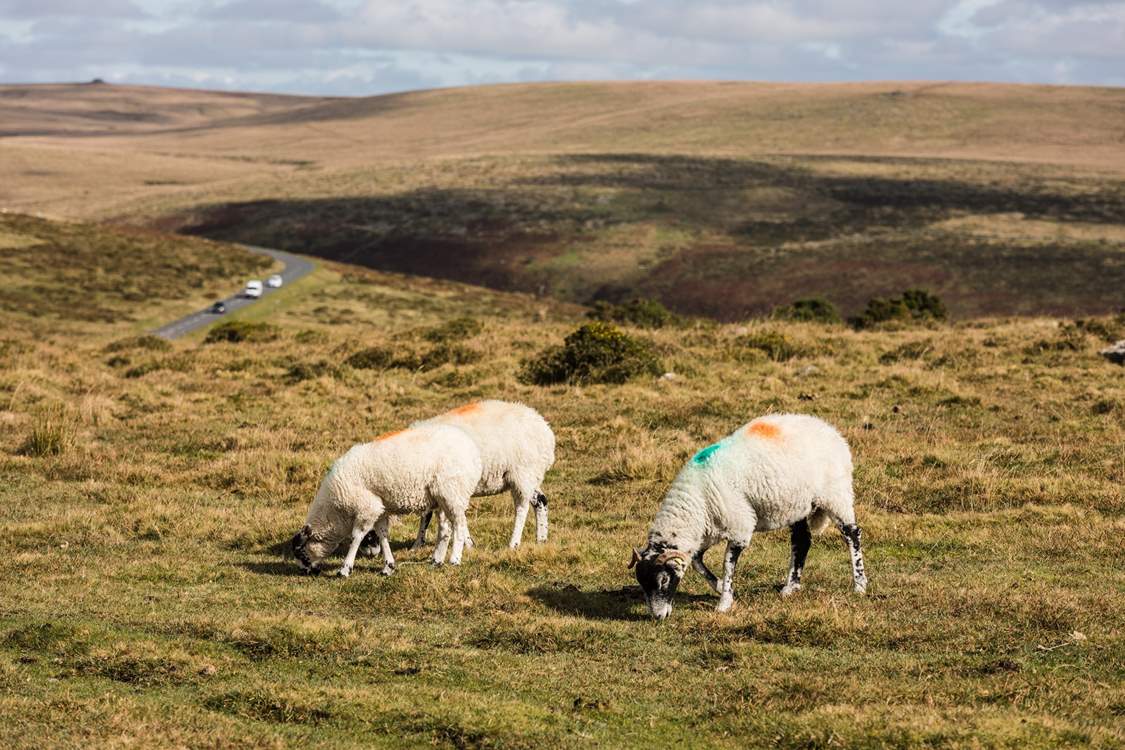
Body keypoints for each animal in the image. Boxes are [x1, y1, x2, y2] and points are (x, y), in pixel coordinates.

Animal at [290, 425, 479, 580]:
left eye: (299, 552)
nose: (303, 572)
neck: (335, 513)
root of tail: (471, 447)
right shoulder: (379, 509)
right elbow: (383, 535)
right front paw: (388, 566)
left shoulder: (367, 508)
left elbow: (356, 536)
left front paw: (345, 569)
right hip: (441, 497)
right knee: (445, 529)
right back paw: (437, 560)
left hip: (452, 491)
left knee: (459, 524)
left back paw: (455, 559)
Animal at [360, 398, 553, 557]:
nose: (370, 553)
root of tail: (545, 430)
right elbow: (428, 516)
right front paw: (417, 545)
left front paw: (466, 544)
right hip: (529, 476)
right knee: (541, 500)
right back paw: (541, 540)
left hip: (522, 473)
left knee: (522, 508)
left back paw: (514, 544)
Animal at [630, 413, 864, 620]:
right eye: (642, 583)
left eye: (663, 581)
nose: (658, 617)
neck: (696, 502)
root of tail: (831, 431)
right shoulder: (708, 531)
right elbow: (697, 561)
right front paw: (718, 586)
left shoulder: (739, 526)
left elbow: (727, 564)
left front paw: (724, 603)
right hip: (798, 505)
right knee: (802, 541)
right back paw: (791, 587)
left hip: (835, 495)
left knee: (852, 534)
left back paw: (860, 585)